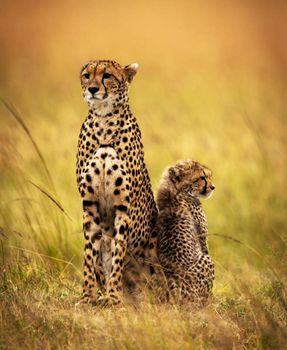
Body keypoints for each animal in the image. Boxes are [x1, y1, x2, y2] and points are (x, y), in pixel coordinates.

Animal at [76, 60, 158, 306]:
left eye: (107, 76)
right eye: (86, 75)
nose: (93, 89)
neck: (104, 121)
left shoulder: (124, 206)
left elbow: (118, 253)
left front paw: (114, 297)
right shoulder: (89, 204)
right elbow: (89, 256)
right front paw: (87, 297)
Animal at [153, 159, 216, 306]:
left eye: (208, 176)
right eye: (202, 177)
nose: (213, 187)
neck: (176, 192)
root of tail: (176, 297)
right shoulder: (203, 241)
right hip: (206, 261)